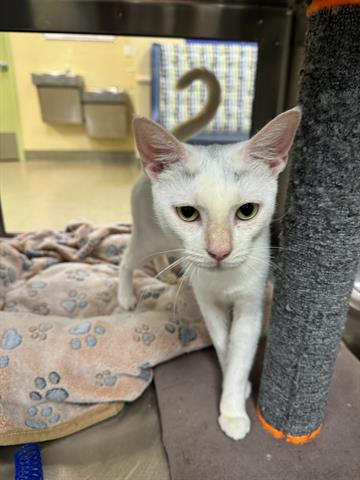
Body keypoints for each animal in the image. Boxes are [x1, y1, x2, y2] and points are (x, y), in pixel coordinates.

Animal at [119, 109, 300, 438]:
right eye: (187, 213)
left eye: (247, 211)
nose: (219, 252)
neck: (224, 280)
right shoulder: (209, 304)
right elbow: (223, 344)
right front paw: (234, 406)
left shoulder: (250, 307)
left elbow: (238, 352)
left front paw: (234, 399)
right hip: (149, 236)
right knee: (126, 260)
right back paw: (125, 296)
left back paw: (167, 275)